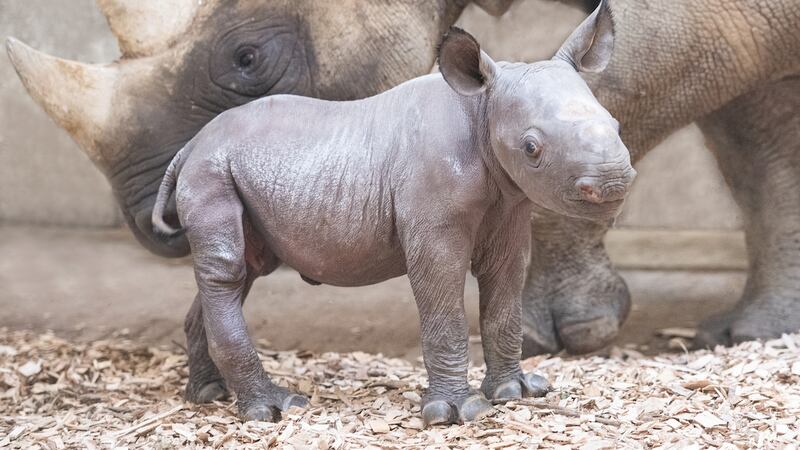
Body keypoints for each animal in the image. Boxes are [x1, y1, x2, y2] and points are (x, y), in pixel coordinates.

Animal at [150, 11, 634, 422]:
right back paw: (271, 409)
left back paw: (209, 395)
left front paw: (515, 392)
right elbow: (444, 307)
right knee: (229, 270)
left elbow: (504, 296)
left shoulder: (510, 207)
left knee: (241, 271)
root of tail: (190, 144)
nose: (611, 183)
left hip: (230, 168)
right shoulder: (433, 223)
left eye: (616, 125)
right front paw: (456, 413)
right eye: (531, 148)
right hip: (212, 169)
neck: (481, 110)